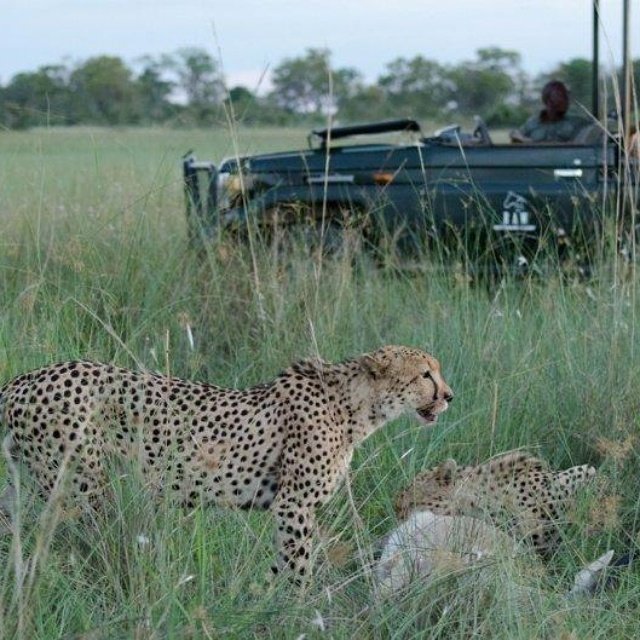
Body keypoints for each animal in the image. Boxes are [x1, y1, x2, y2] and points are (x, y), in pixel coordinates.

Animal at [0, 345, 453, 579]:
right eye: (425, 374)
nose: (449, 396)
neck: (354, 406)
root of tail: (24, 378)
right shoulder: (294, 505)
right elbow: (299, 567)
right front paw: (300, 608)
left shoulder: (286, 509)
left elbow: (281, 566)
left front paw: (268, 601)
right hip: (82, 489)